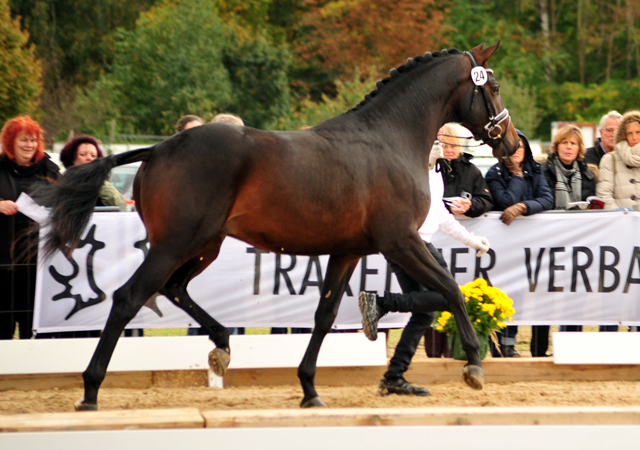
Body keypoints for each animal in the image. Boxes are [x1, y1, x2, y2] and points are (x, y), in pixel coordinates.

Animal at [35, 41, 516, 408]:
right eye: (491, 85)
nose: (511, 144)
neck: (388, 140)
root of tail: (159, 149)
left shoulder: (348, 251)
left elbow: (324, 315)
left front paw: (309, 388)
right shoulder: (401, 241)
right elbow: (451, 288)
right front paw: (474, 366)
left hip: (202, 246)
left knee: (174, 289)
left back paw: (221, 347)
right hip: (176, 244)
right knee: (129, 297)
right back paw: (91, 390)